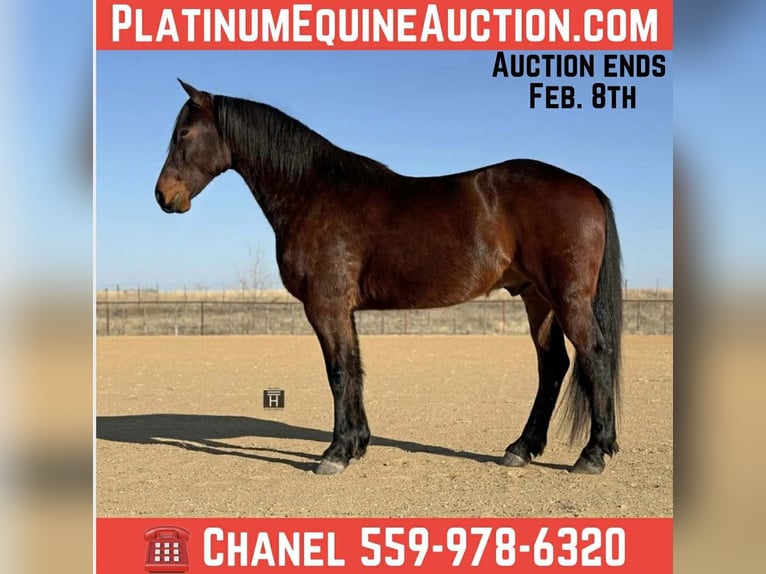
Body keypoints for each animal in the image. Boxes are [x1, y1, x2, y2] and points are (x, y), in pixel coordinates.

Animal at [155, 79, 623, 476]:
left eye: (184, 134)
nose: (163, 196)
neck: (313, 192)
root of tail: (586, 187)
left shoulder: (325, 305)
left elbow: (339, 371)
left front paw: (336, 453)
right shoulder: (343, 309)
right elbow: (355, 367)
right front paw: (357, 444)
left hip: (567, 297)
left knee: (595, 355)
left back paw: (592, 454)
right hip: (537, 299)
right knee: (553, 365)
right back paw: (521, 448)